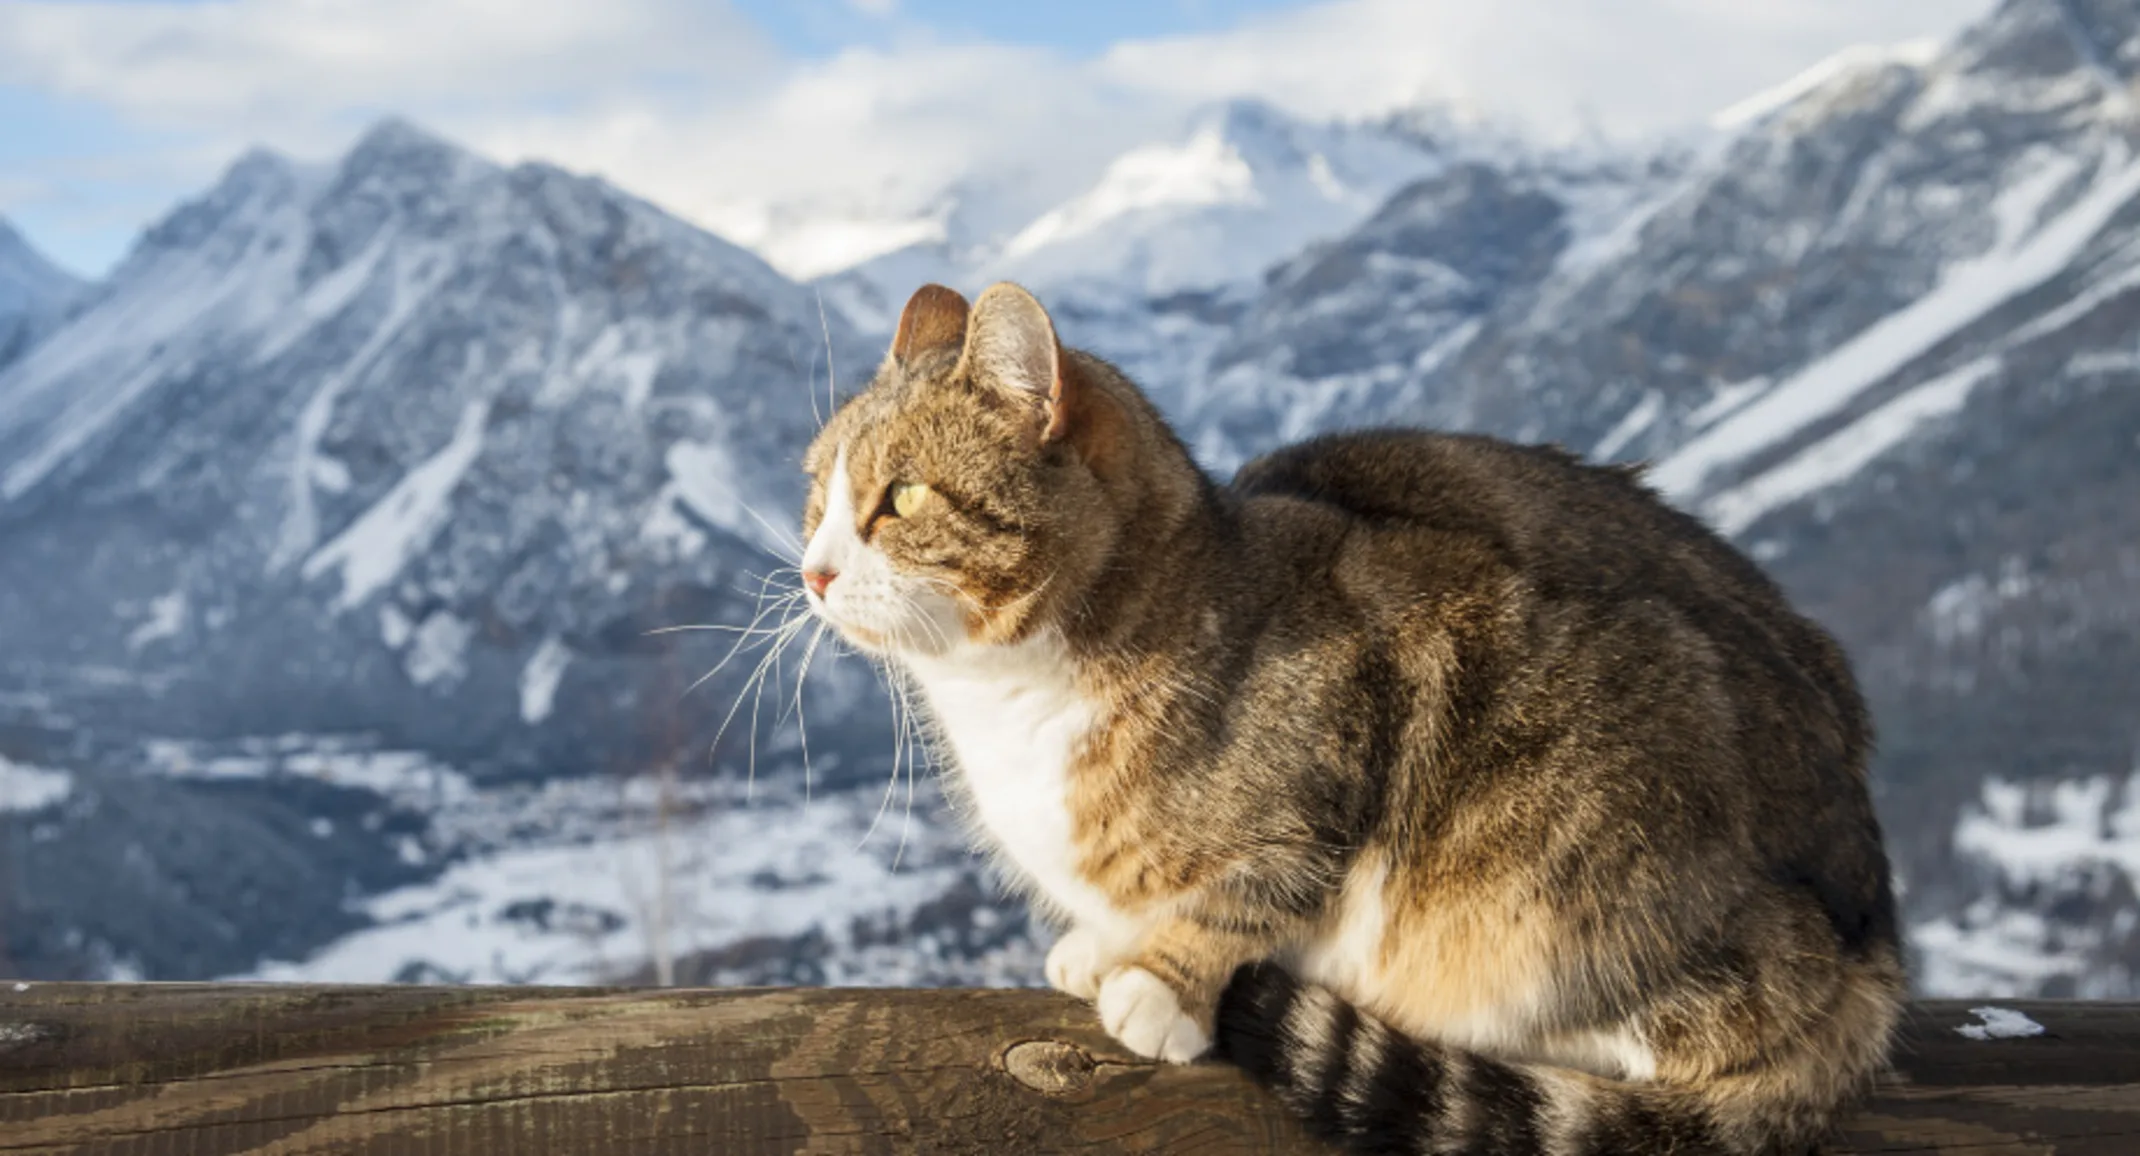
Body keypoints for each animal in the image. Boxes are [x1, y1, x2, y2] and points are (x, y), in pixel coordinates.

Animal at [804, 282, 1908, 1156]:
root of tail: (1873, 936)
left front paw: (1160, 980)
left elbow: (1254, 894)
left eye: (901, 496)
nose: (809, 569)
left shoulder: (1376, 696)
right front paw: (1102, 942)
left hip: (1582, 845)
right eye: (818, 489)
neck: (1014, 704)